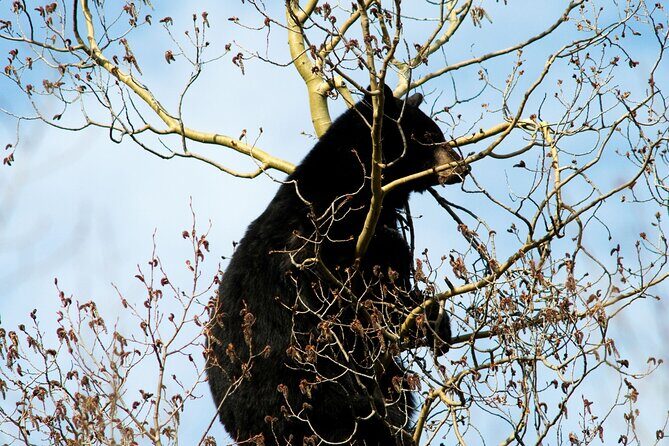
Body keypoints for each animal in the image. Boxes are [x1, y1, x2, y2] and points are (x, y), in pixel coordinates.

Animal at [206, 84, 469, 446]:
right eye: (430, 135)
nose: (461, 165)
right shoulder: (325, 233)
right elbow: (373, 285)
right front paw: (428, 316)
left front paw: (434, 322)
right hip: (302, 379)